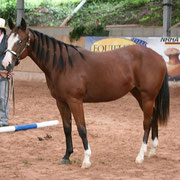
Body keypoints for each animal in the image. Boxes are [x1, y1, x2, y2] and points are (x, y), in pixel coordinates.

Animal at [2, 19, 169, 168]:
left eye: (20, 41)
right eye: (8, 40)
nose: (6, 64)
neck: (63, 65)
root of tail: (159, 57)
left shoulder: (75, 101)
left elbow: (82, 128)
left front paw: (86, 160)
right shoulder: (61, 102)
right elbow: (67, 128)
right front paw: (67, 156)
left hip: (147, 96)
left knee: (146, 122)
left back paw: (140, 156)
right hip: (139, 95)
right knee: (153, 116)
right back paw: (152, 150)